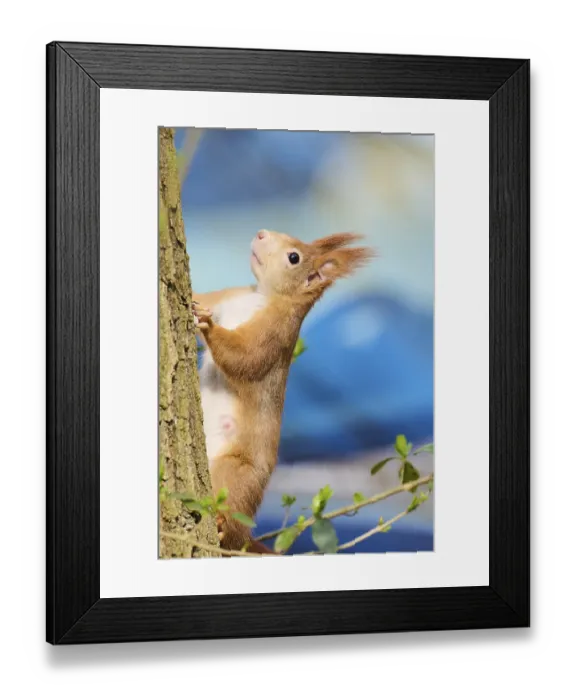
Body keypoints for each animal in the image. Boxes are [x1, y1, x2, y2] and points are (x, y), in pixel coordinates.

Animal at [193, 229, 374, 554]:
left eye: (294, 257)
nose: (261, 233)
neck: (260, 295)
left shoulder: (274, 333)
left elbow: (245, 356)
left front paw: (209, 325)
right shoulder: (228, 295)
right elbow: (200, 297)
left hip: (235, 475)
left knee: (232, 522)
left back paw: (224, 527)